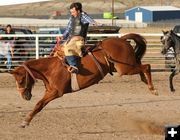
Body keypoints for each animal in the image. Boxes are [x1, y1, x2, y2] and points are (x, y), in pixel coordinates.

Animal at [10, 33, 156, 127]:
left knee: (147, 67)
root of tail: (122, 39)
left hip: (125, 68)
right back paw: (146, 82)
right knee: (142, 68)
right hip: (122, 67)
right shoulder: (50, 91)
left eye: (21, 80)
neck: (50, 68)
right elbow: (39, 105)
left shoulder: (55, 92)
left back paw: (153, 89)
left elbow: (39, 104)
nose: (24, 96)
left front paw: (25, 121)